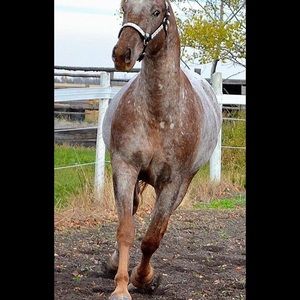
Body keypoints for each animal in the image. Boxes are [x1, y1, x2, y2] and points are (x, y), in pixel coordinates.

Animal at [103, 0, 223, 298]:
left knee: (161, 225)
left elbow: (152, 238)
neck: (158, 114)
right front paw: (121, 286)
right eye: (124, 8)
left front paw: (144, 278)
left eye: (156, 11)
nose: (122, 54)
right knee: (133, 211)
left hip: (181, 185)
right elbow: (126, 229)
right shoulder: (125, 168)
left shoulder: (172, 182)